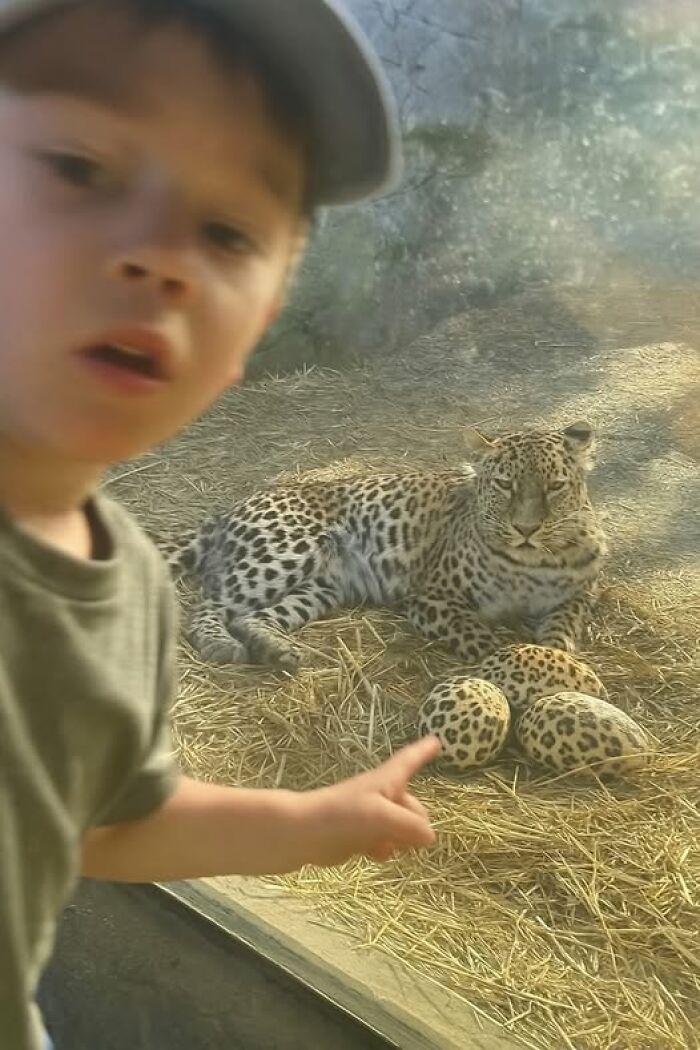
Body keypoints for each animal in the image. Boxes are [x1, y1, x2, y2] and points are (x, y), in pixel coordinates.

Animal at [157, 421, 608, 672]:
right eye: (504, 485)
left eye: (555, 486)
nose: (526, 528)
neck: (533, 562)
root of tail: (229, 509)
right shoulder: (432, 598)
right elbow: (479, 635)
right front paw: (511, 662)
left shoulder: (579, 595)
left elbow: (564, 626)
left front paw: (556, 657)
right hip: (284, 553)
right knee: (210, 606)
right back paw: (221, 644)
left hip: (323, 588)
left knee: (253, 617)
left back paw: (278, 650)